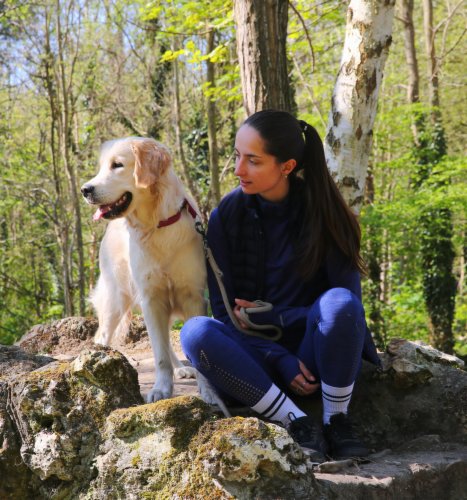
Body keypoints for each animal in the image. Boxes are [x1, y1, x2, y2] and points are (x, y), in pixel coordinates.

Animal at [81, 137, 208, 403]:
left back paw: (181, 369)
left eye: (117, 165)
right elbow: (159, 355)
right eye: (101, 167)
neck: (157, 225)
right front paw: (161, 389)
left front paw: (208, 390)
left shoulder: (192, 296)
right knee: (102, 336)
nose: (85, 190)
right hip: (116, 298)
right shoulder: (151, 297)